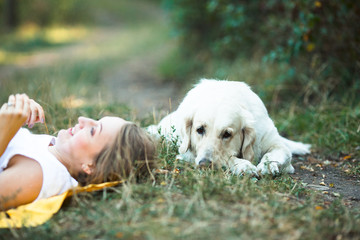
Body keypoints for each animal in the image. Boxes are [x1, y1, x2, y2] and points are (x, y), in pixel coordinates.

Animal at [148, 79, 310, 175]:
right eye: (199, 130)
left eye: (227, 134)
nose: (204, 164)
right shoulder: (189, 153)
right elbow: (228, 158)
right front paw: (243, 165)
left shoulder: (272, 141)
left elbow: (281, 152)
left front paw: (267, 165)